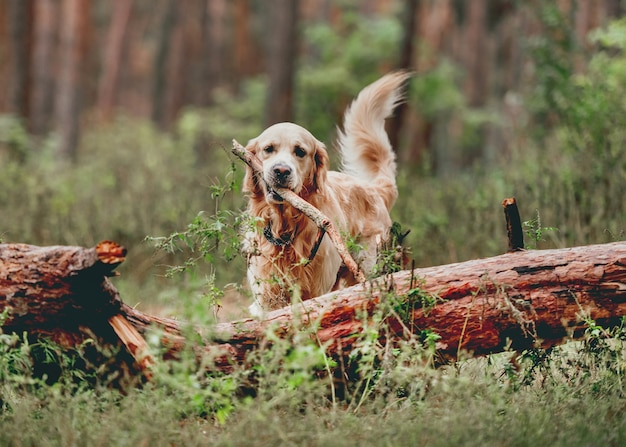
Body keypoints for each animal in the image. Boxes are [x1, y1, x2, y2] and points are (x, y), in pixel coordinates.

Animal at [240, 72, 410, 316]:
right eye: (268, 149)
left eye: (300, 152)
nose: (281, 171)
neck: (286, 228)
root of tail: (373, 188)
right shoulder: (265, 294)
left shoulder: (317, 287)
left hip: (365, 265)